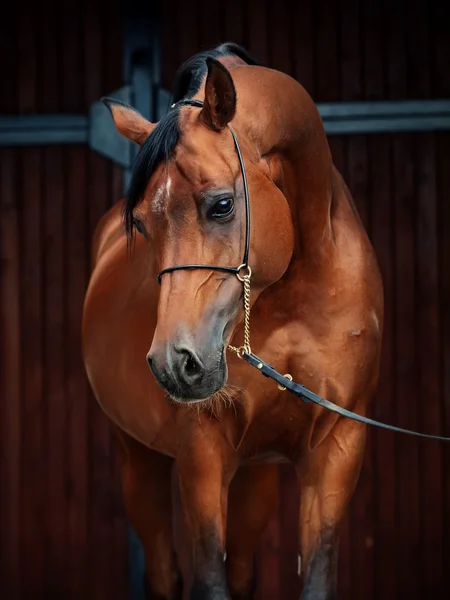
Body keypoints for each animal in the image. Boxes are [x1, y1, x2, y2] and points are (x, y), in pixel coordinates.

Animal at [81, 43, 384, 600]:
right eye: (142, 225)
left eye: (222, 205)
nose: (174, 364)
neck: (294, 298)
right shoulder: (203, 453)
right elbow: (208, 579)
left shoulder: (337, 448)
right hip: (139, 460)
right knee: (164, 572)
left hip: (255, 474)